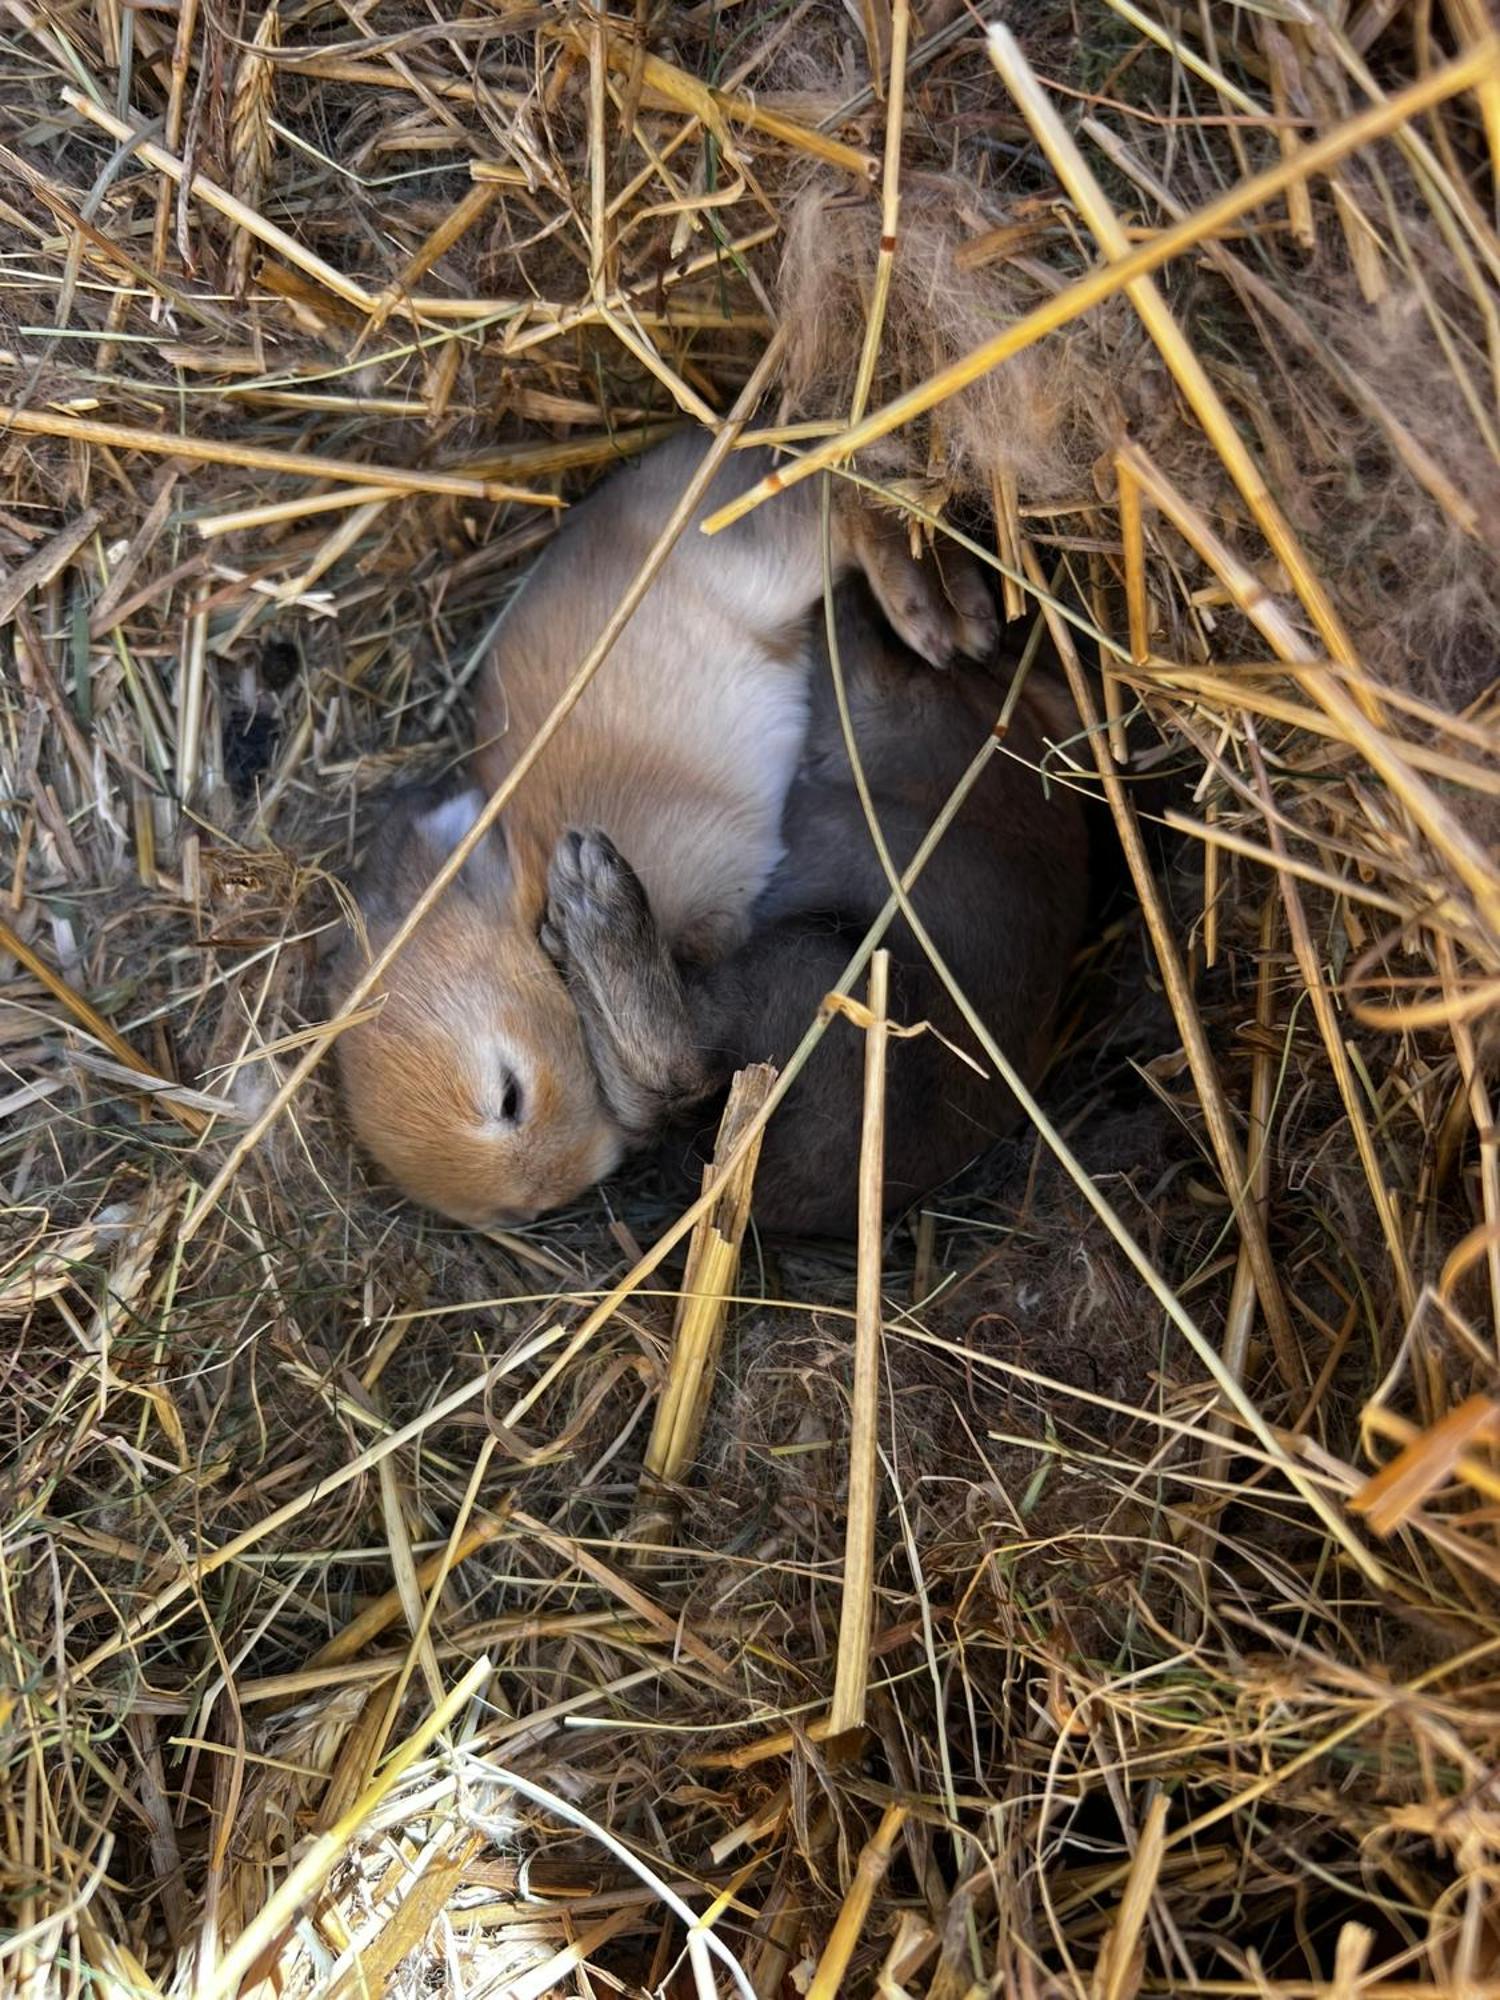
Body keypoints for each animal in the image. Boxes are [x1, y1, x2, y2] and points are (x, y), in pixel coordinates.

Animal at [330, 430, 992, 1224]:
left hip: (756, 559)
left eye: (509, 1096)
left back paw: (938, 610)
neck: (526, 909)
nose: (548, 1195)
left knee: (839, 494)